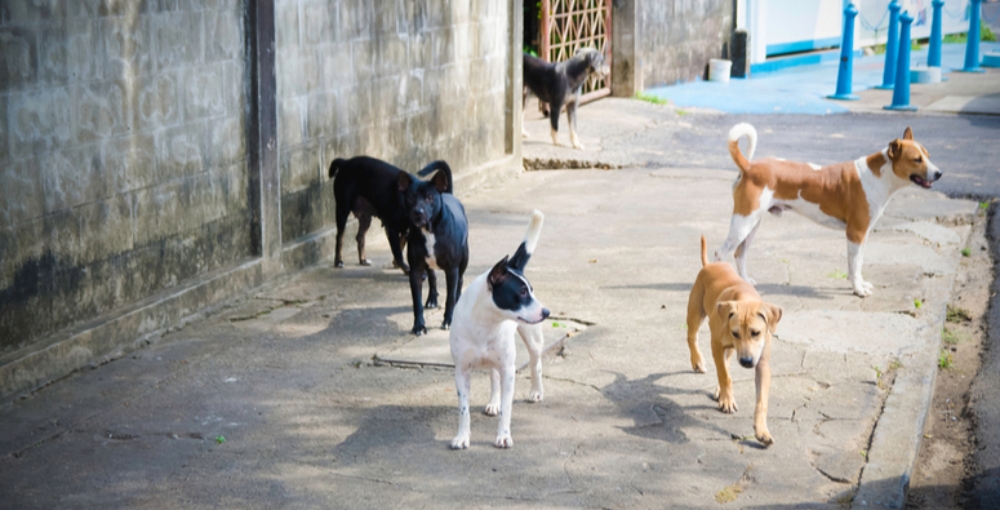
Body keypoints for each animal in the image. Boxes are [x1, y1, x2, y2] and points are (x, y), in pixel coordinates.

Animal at [398, 159, 468, 334]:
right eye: (410, 197)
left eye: (429, 197)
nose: (418, 212)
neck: (429, 230)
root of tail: (448, 193)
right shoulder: (415, 270)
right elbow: (416, 302)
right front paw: (418, 326)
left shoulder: (452, 270)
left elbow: (450, 298)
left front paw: (448, 320)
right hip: (428, 265)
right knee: (433, 277)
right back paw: (432, 299)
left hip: (464, 258)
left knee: (460, 281)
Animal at [450, 209, 552, 448]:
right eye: (522, 292)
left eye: (530, 290)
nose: (546, 312)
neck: (486, 322)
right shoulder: (461, 371)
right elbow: (464, 409)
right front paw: (462, 436)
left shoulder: (509, 370)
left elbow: (508, 407)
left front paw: (504, 435)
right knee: (494, 377)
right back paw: (493, 402)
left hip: (532, 341)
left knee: (536, 364)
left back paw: (536, 391)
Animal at [688, 237, 780, 444]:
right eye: (735, 332)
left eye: (756, 333)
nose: (746, 361)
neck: (745, 299)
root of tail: (710, 265)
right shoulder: (716, 343)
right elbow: (724, 375)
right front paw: (728, 400)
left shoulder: (762, 362)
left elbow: (761, 399)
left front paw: (762, 430)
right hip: (696, 311)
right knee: (692, 337)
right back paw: (698, 361)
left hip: (730, 348)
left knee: (726, 360)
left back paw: (718, 390)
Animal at [716, 122, 940, 296]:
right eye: (917, 159)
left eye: (928, 155)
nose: (939, 173)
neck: (878, 175)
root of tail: (749, 166)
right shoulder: (855, 233)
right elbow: (854, 265)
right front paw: (858, 290)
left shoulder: (863, 234)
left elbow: (857, 264)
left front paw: (859, 284)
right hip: (743, 223)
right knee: (721, 253)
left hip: (752, 224)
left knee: (740, 254)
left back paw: (745, 282)